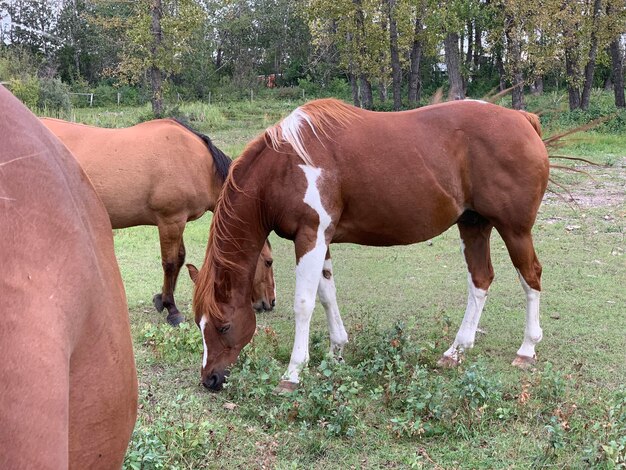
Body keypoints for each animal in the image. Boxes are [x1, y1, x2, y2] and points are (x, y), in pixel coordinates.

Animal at [39, 116, 272, 326]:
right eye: (268, 262)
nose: (269, 303)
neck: (195, 161)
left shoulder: (178, 221)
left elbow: (180, 258)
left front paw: (161, 299)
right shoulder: (171, 221)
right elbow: (170, 263)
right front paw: (172, 309)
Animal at [190, 97, 544, 392]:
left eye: (223, 327)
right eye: (199, 324)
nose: (210, 379)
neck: (285, 167)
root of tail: (522, 119)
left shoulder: (310, 236)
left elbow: (304, 304)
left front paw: (292, 373)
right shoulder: (322, 239)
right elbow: (327, 295)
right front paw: (336, 351)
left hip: (515, 230)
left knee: (531, 277)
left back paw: (527, 348)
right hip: (474, 225)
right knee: (480, 280)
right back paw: (456, 351)